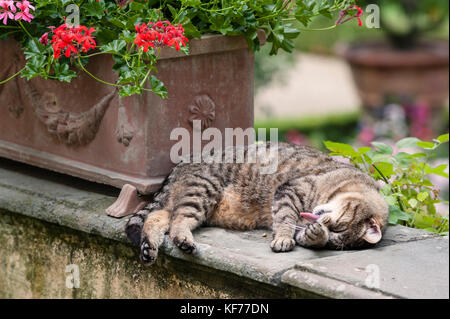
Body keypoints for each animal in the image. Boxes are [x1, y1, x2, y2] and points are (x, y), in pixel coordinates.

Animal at [125, 143, 388, 264]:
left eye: (336, 239)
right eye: (339, 227)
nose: (324, 227)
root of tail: (177, 166)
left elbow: (304, 234)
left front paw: (316, 234)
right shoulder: (290, 190)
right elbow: (285, 218)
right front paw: (283, 238)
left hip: (188, 199)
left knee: (158, 218)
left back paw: (149, 248)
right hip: (203, 189)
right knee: (177, 219)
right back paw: (182, 240)